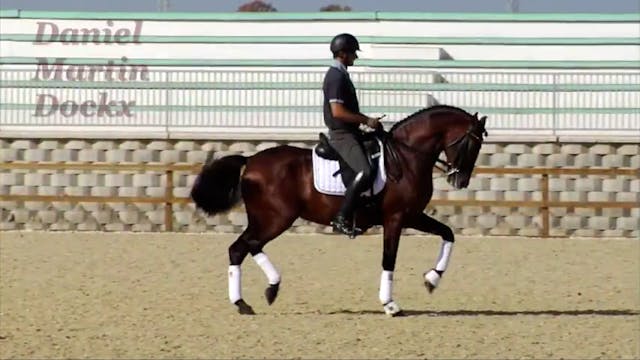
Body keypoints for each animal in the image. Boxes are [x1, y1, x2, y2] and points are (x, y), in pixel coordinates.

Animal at [192, 105, 488, 318]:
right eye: (472, 143)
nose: (460, 180)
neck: (406, 158)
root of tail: (251, 160)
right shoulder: (396, 218)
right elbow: (389, 259)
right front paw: (390, 304)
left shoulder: (412, 216)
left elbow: (448, 234)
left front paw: (432, 280)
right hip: (276, 219)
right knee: (247, 246)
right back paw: (264, 292)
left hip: (265, 219)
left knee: (241, 248)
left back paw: (248, 301)